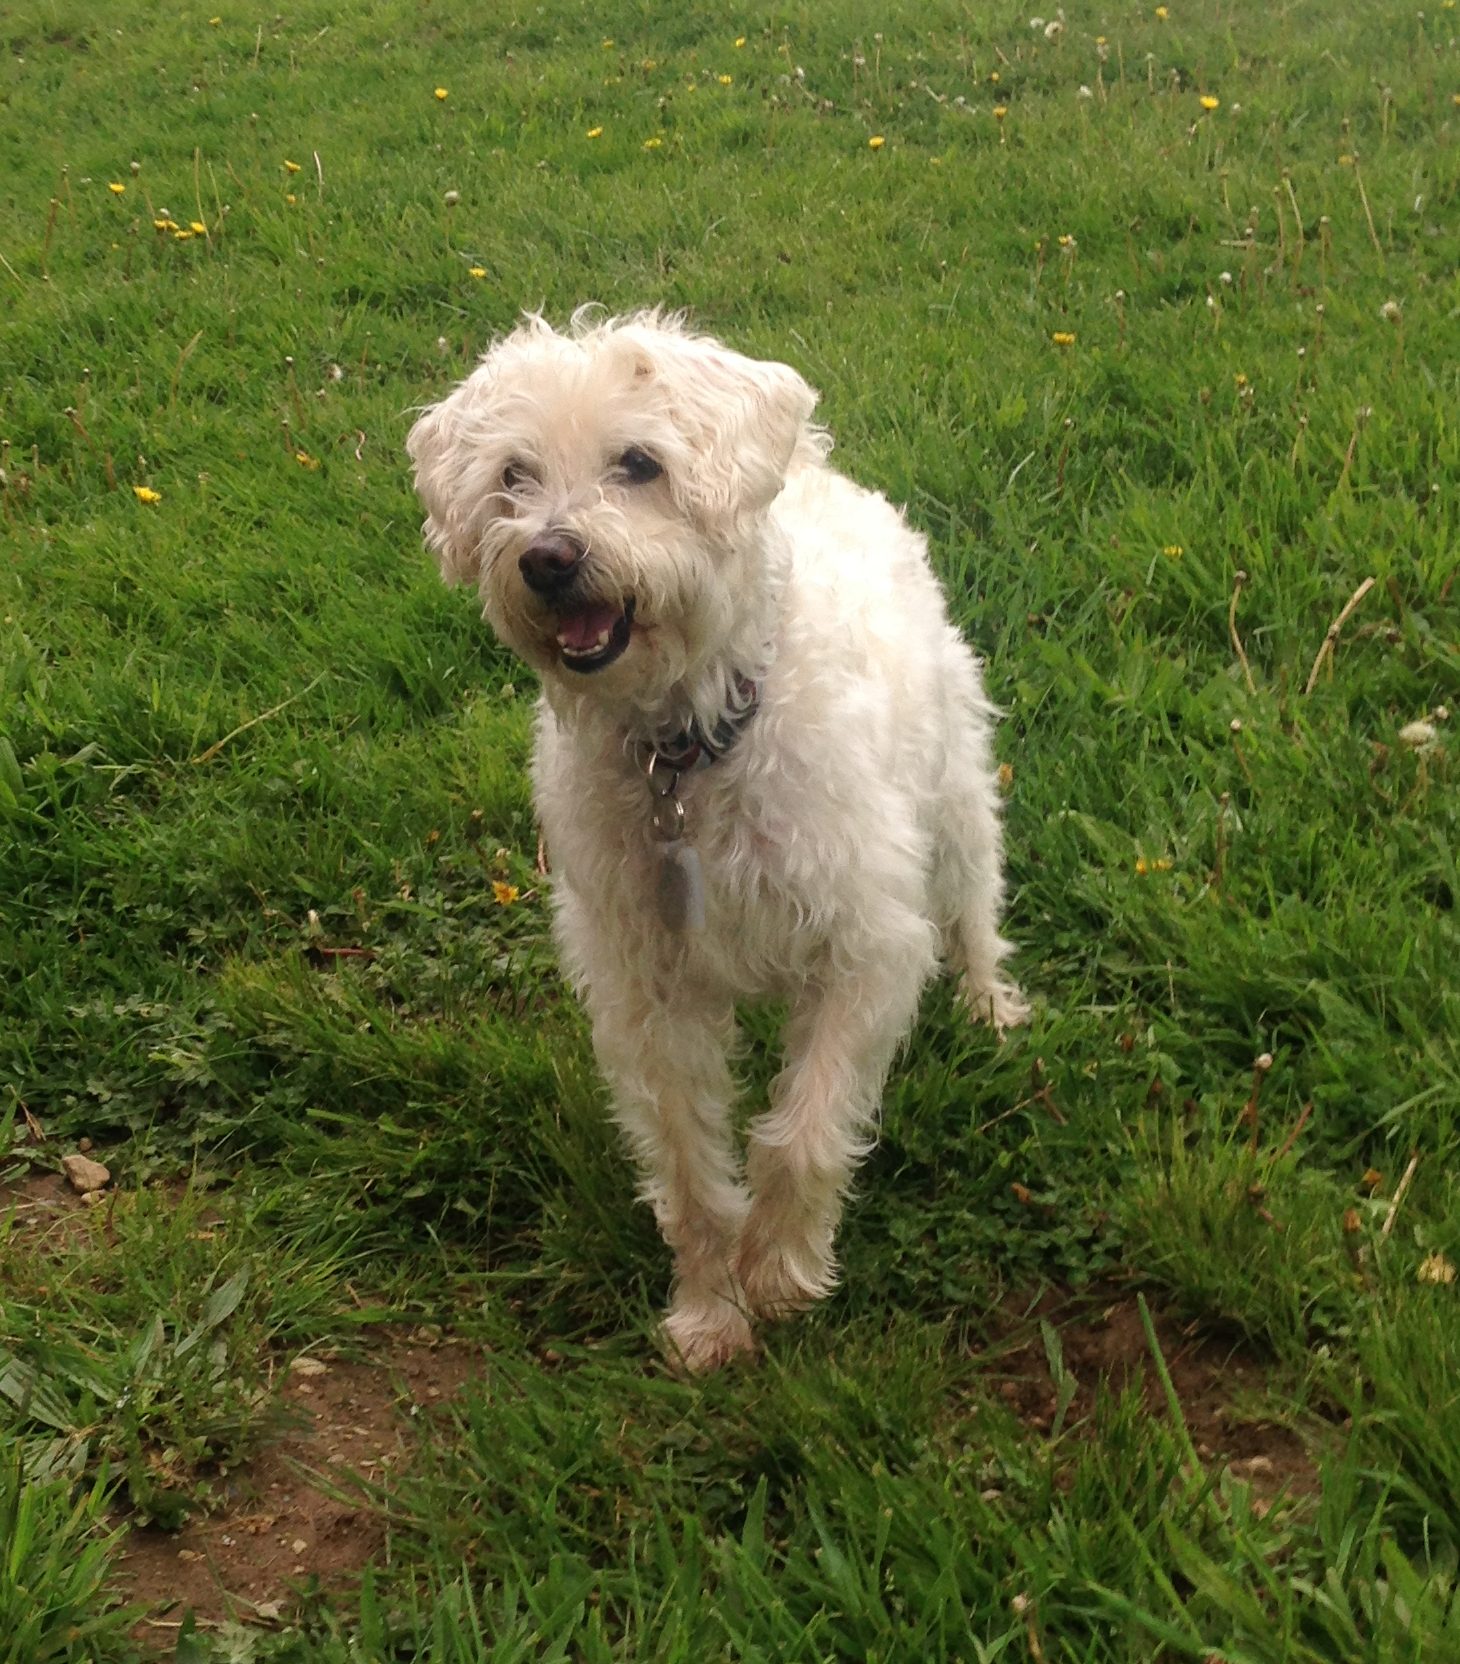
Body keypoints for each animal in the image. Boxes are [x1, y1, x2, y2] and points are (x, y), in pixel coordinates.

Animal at [407, 309, 1028, 1371]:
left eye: (640, 464)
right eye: (513, 476)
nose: (547, 558)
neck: (689, 754)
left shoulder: (866, 944)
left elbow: (801, 1133)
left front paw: (779, 1272)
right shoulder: (646, 991)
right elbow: (689, 1166)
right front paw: (709, 1313)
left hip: (953, 796)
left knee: (976, 901)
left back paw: (991, 1004)